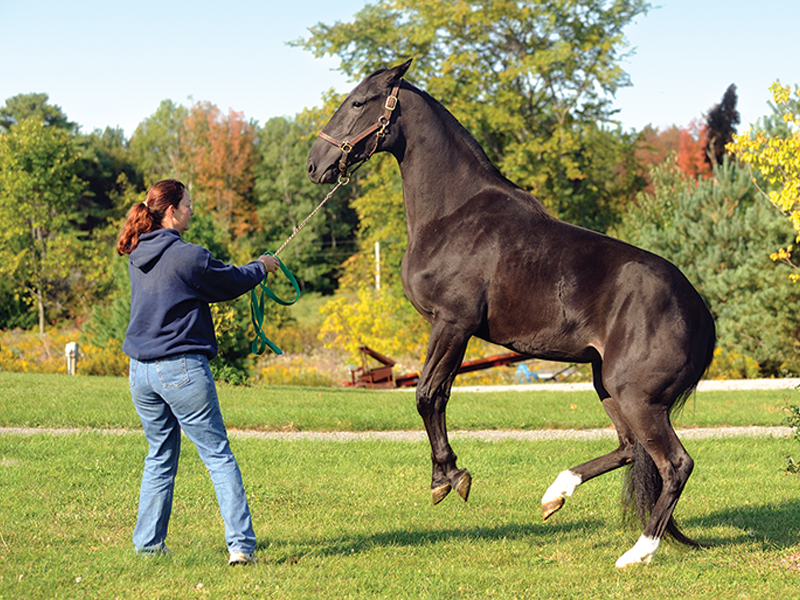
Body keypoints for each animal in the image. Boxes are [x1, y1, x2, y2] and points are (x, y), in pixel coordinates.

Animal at [306, 60, 716, 568]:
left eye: (359, 102)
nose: (315, 165)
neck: (453, 213)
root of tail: (699, 312)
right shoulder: (453, 329)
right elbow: (435, 395)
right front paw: (449, 475)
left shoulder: (453, 323)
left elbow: (428, 395)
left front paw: (449, 477)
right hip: (609, 387)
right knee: (628, 448)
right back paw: (555, 495)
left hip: (636, 396)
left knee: (675, 464)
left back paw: (637, 552)